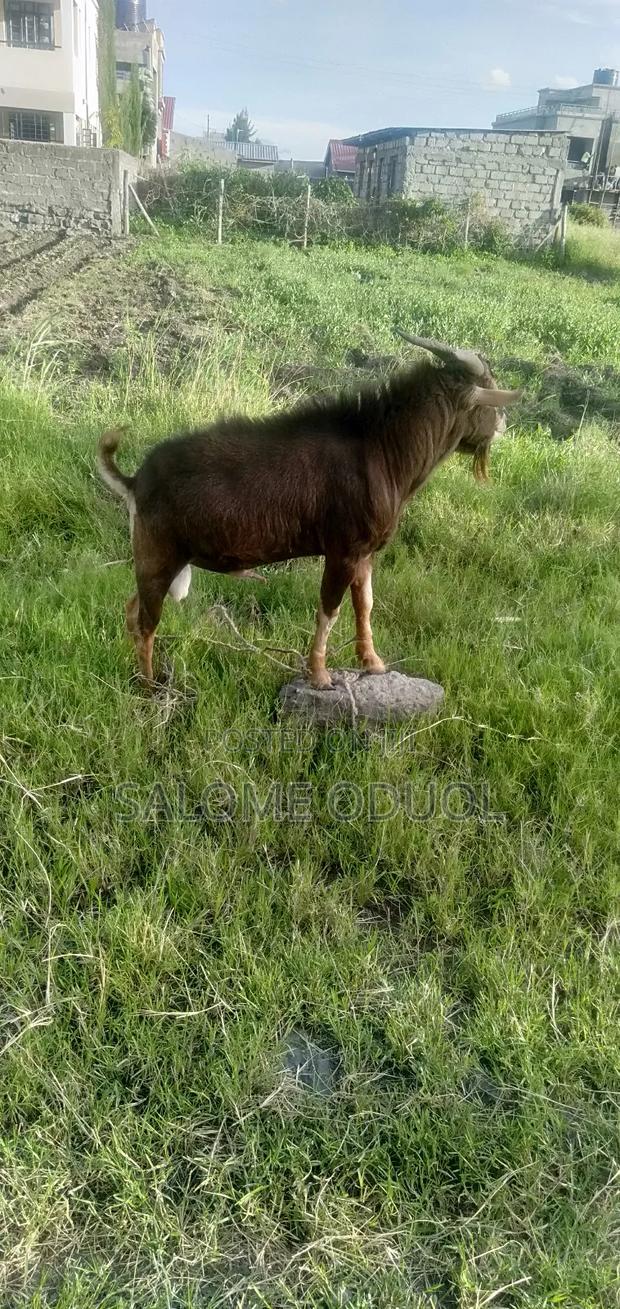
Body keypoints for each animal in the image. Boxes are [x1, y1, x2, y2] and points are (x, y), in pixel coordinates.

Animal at [98, 334, 521, 689]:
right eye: (488, 390)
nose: (502, 425)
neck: (380, 449)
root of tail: (135, 480)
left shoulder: (364, 553)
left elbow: (364, 604)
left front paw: (372, 663)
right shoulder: (342, 550)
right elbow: (329, 609)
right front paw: (319, 675)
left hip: (158, 562)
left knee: (132, 609)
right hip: (159, 555)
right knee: (147, 622)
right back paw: (150, 686)